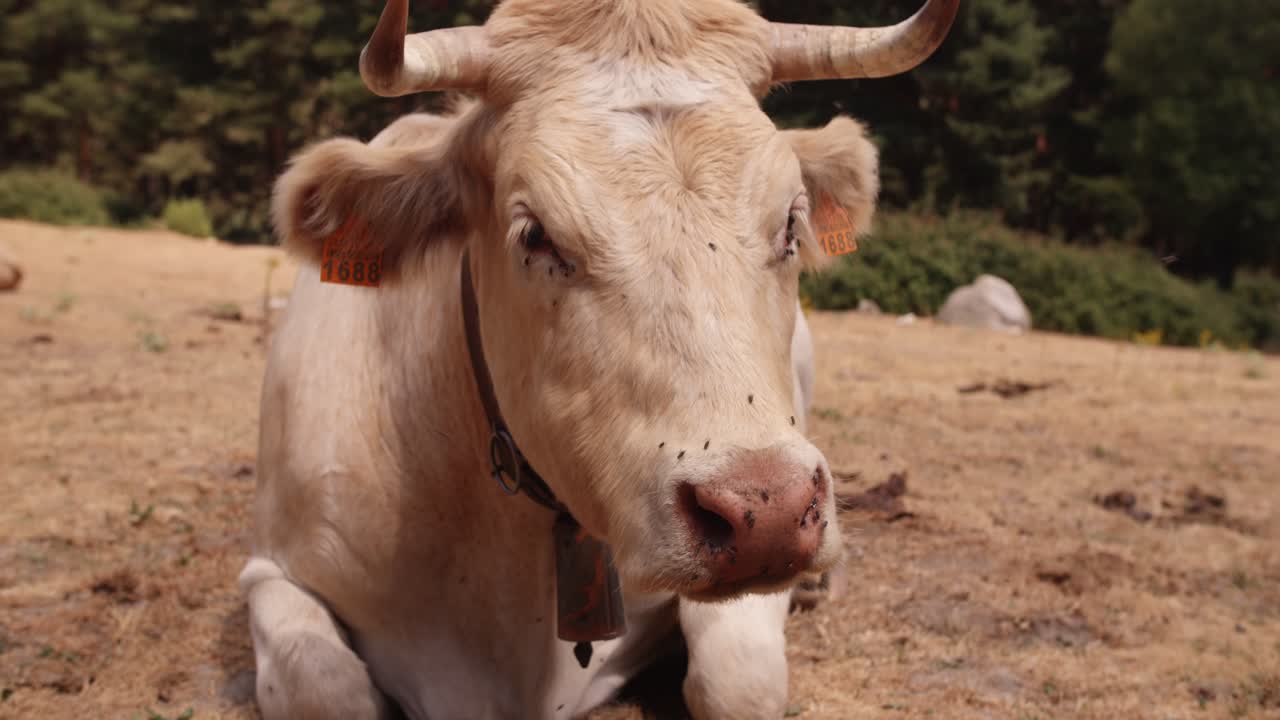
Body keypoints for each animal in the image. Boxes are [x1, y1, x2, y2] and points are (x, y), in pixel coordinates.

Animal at [238, 1, 957, 718]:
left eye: (791, 223)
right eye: (535, 235)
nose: (771, 513)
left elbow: (739, 679)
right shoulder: (273, 568)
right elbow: (323, 685)